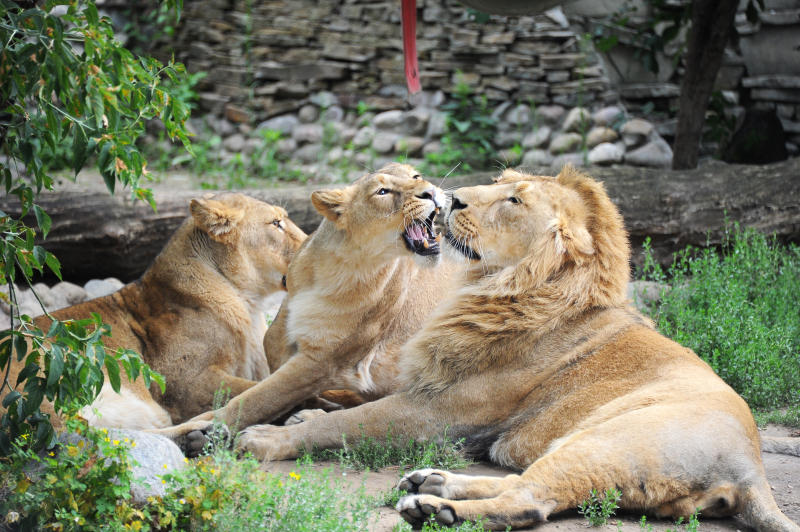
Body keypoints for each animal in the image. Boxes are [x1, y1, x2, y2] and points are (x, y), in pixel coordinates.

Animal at [238, 167, 800, 532]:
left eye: (515, 201)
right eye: (499, 182)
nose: (448, 197)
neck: (498, 288)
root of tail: (750, 469)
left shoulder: (440, 411)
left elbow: (348, 422)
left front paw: (266, 436)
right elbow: (347, 407)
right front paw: (303, 412)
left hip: (603, 441)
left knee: (530, 501)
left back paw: (437, 510)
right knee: (519, 484)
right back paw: (434, 484)